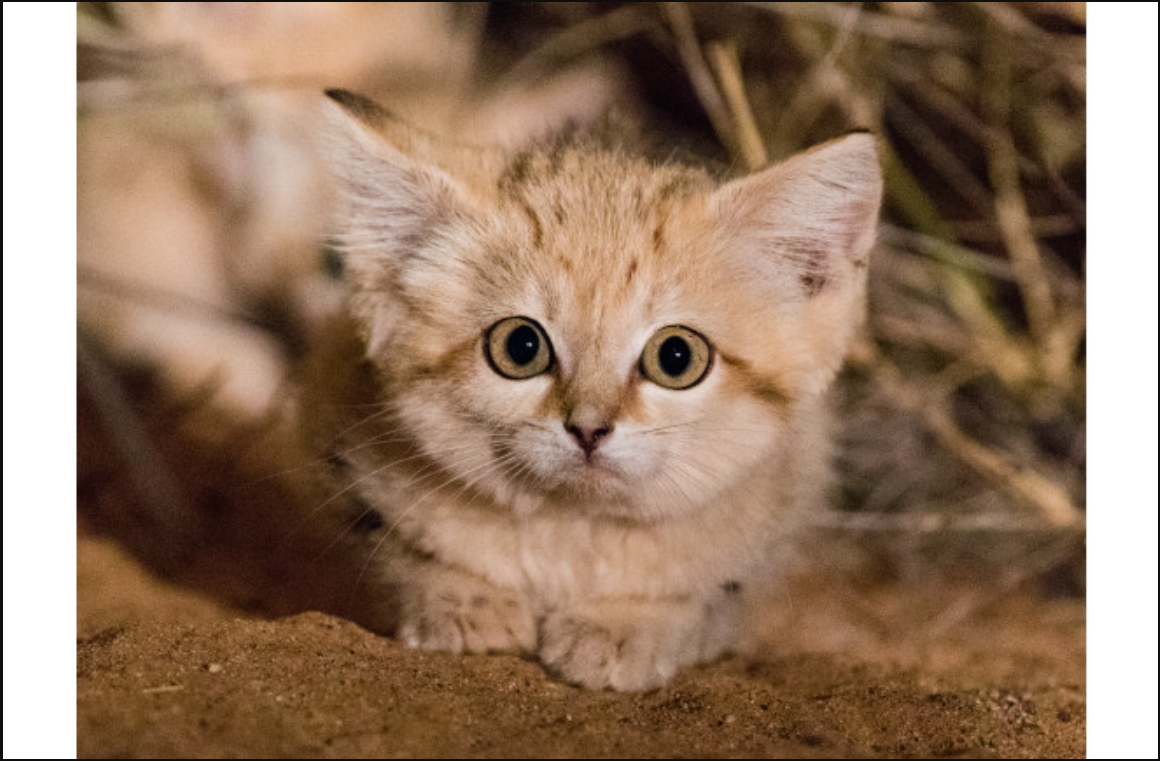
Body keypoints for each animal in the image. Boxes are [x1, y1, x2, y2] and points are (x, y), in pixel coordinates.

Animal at [306, 89, 876, 691]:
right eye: (520, 347)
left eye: (677, 357)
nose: (588, 428)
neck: (572, 532)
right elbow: (401, 553)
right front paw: (460, 601)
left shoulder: (780, 512)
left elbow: (701, 598)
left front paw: (623, 624)